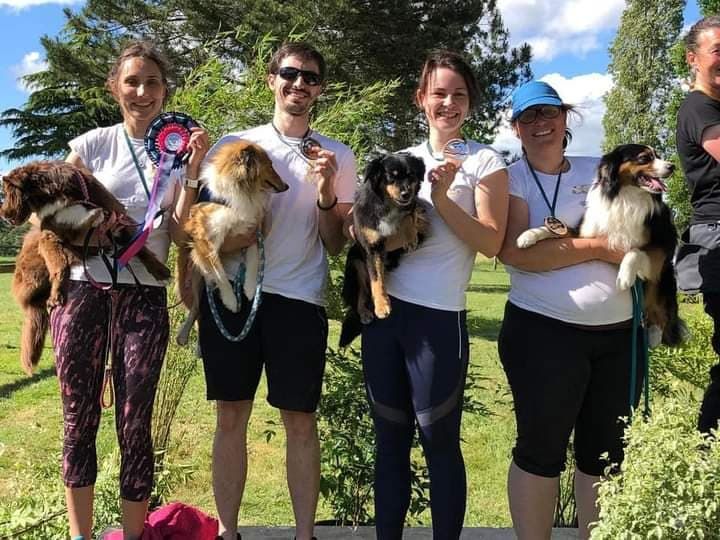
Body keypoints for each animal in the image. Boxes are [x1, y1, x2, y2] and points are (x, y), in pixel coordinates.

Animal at [0, 160, 171, 375]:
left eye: (8, 193)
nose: (3, 215)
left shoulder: (117, 219)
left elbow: (140, 249)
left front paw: (161, 271)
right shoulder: (50, 234)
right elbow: (60, 264)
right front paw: (57, 294)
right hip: (35, 267)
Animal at [175, 139, 289, 346]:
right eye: (270, 165)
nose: (287, 186)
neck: (241, 191)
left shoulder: (251, 232)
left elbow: (253, 262)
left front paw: (251, 290)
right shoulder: (206, 242)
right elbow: (220, 273)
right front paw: (231, 301)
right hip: (193, 276)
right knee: (196, 305)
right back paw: (184, 335)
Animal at [338, 152, 429, 347]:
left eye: (411, 175)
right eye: (391, 176)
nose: (406, 193)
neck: (389, 205)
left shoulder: (414, 208)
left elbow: (411, 213)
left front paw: (410, 236)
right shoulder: (372, 249)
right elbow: (376, 280)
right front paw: (382, 306)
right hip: (355, 264)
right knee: (360, 296)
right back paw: (366, 312)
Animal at [516, 144, 685, 347]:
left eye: (657, 156)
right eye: (644, 158)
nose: (672, 166)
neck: (625, 196)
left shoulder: (663, 244)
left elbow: (634, 251)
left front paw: (624, 277)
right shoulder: (583, 234)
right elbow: (553, 230)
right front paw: (527, 236)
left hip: (663, 279)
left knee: (661, 314)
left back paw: (653, 337)